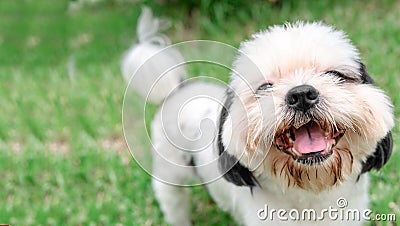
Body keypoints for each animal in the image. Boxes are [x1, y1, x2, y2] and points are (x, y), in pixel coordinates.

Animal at [122, 7, 394, 226]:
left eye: (335, 75)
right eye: (265, 87)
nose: (301, 94)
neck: (309, 193)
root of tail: (177, 89)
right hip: (169, 177)